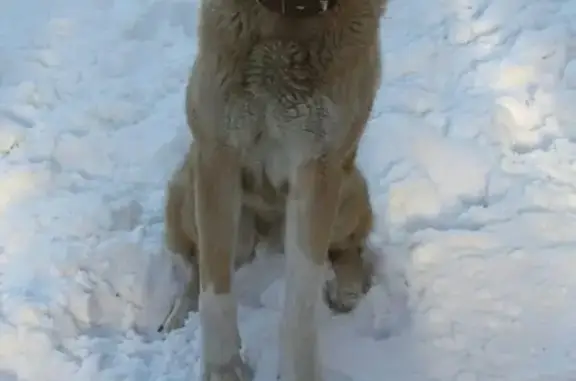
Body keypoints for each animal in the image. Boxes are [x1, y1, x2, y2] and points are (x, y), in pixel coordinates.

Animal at [160, 0, 390, 378]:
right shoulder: (216, 151)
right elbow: (215, 289)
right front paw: (224, 369)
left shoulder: (319, 163)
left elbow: (301, 299)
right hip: (192, 191)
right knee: (199, 263)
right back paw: (179, 314)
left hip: (348, 191)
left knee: (350, 247)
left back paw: (348, 290)